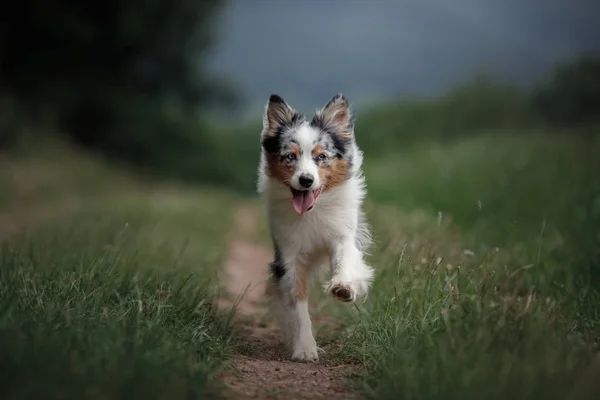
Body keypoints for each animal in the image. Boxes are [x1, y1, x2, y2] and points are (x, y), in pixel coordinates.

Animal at [255, 92, 372, 360]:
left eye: (321, 157)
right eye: (290, 156)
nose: (306, 180)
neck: (313, 211)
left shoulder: (342, 236)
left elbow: (344, 262)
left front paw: (343, 287)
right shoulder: (289, 256)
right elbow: (297, 304)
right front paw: (304, 349)